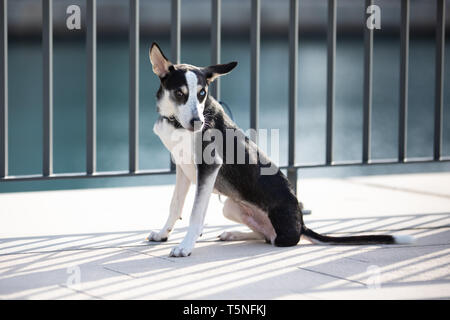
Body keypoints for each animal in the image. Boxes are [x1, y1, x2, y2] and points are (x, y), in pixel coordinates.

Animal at [146, 43, 414, 258]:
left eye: (202, 94)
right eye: (180, 93)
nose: (198, 123)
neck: (175, 122)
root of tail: (301, 224)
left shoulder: (209, 166)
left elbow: (195, 213)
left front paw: (185, 246)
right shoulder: (183, 169)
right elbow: (175, 205)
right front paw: (163, 234)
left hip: (274, 231)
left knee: (275, 239)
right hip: (230, 206)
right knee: (264, 235)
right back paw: (233, 234)